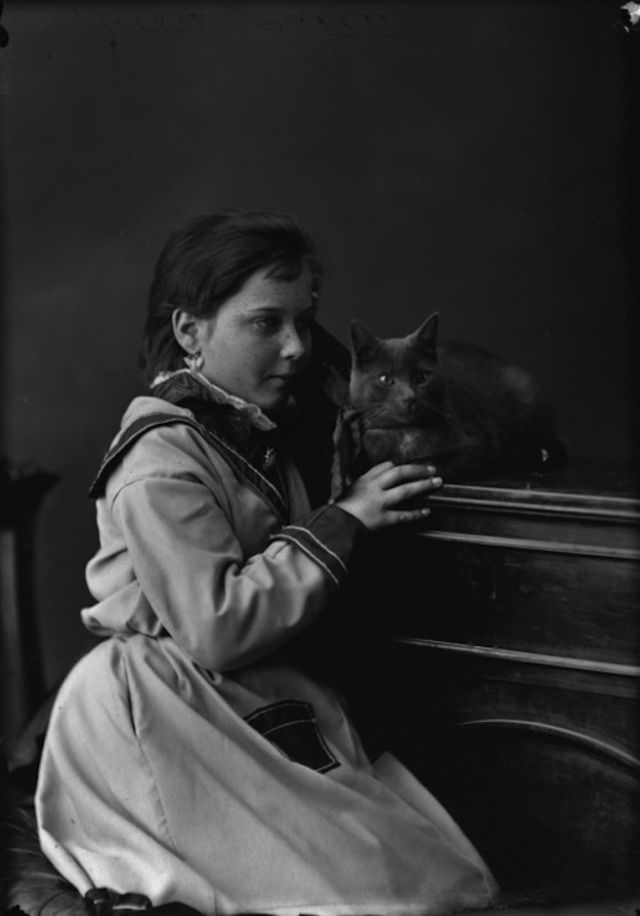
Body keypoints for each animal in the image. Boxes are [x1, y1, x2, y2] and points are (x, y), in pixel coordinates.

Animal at [330, 312, 564, 490]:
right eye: (385, 379)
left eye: (422, 377)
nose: (409, 397)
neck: (405, 434)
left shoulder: (475, 444)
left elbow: (433, 463)